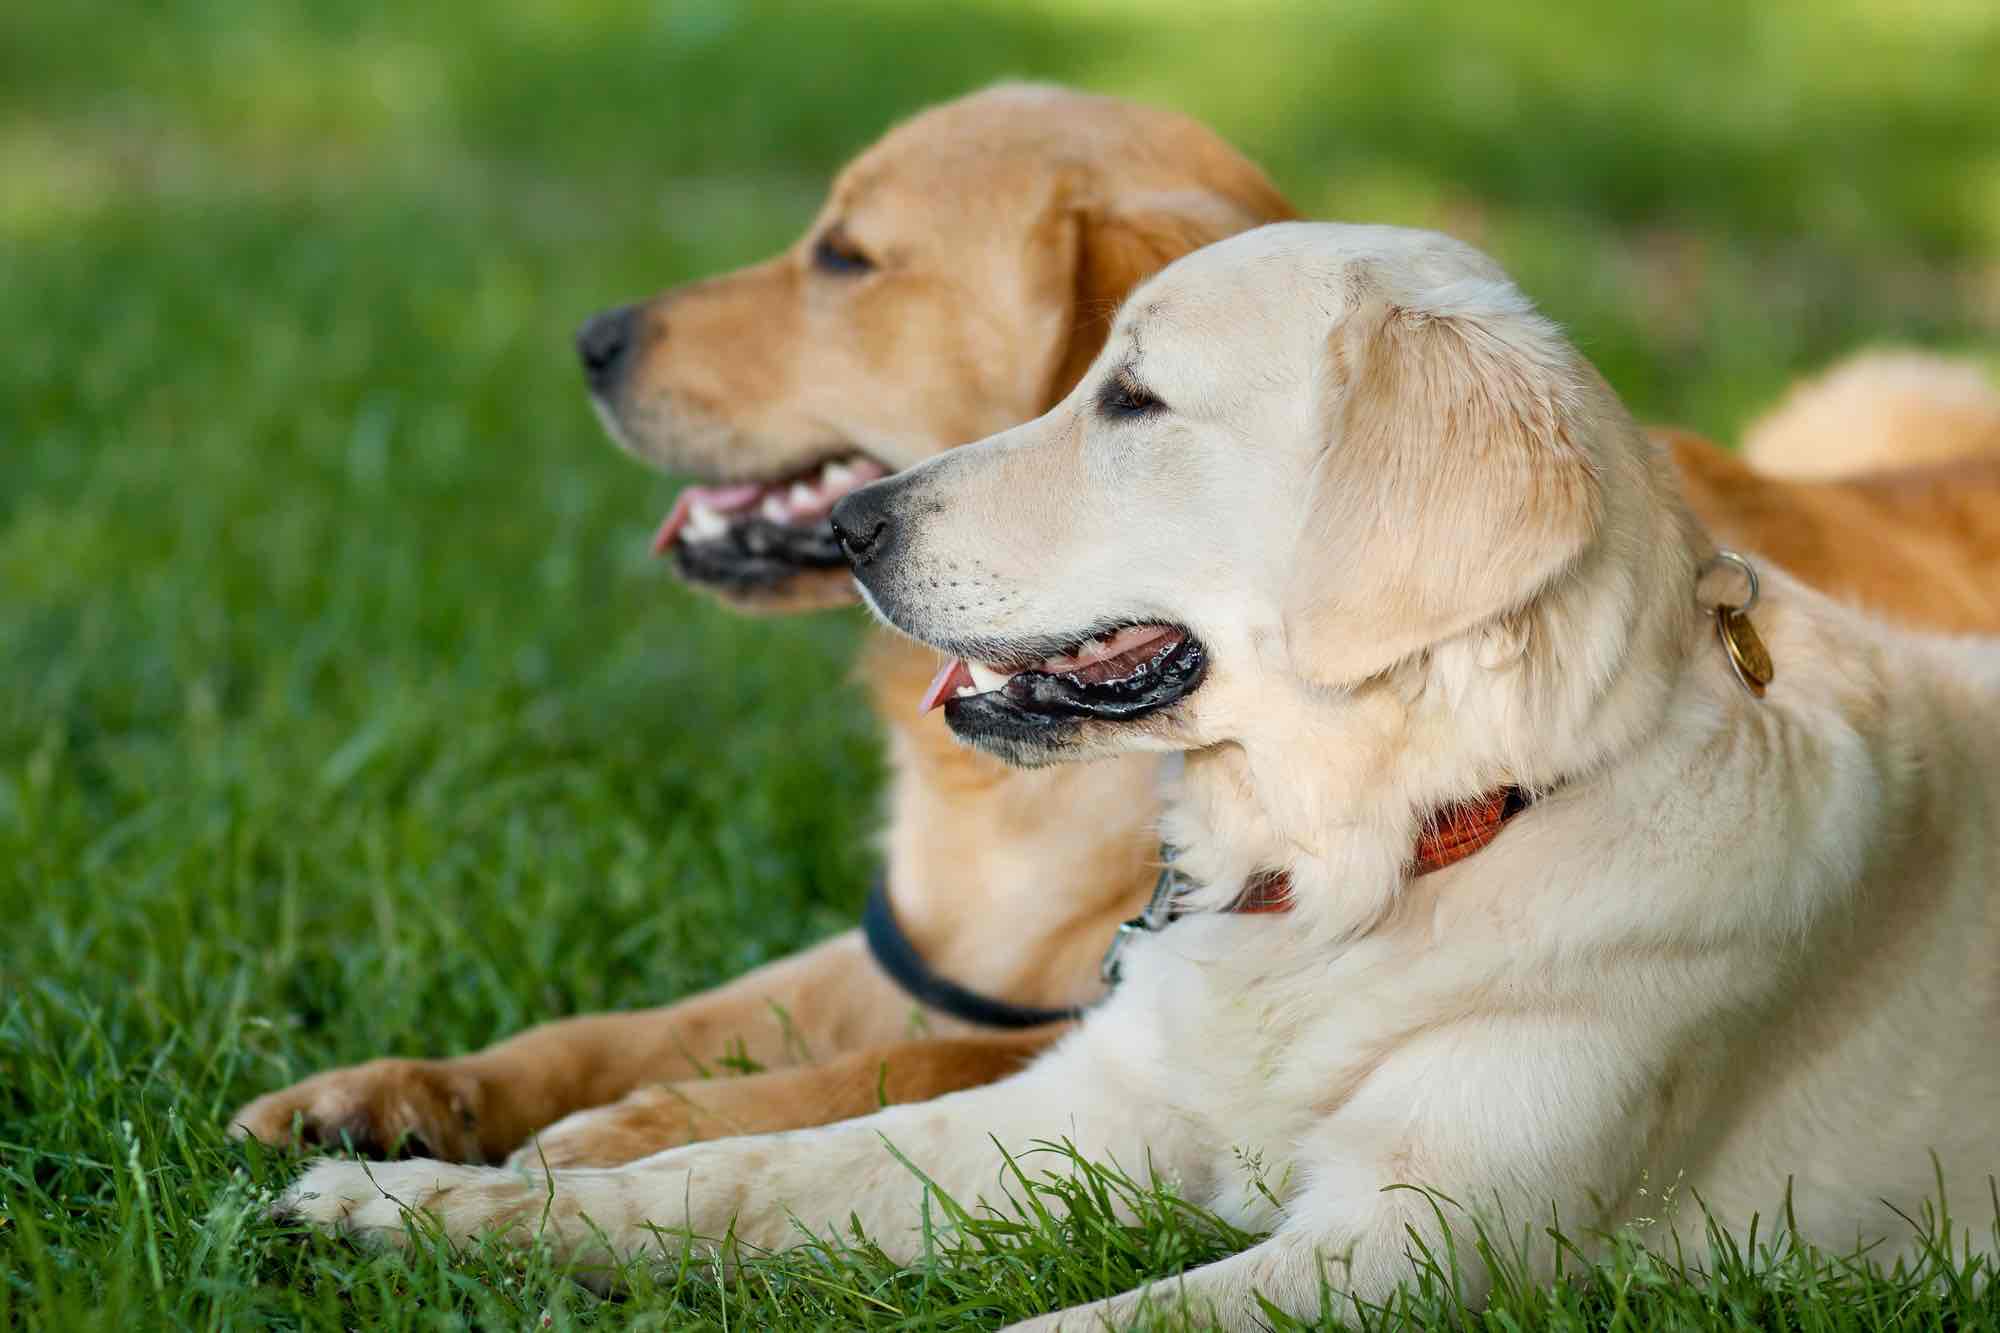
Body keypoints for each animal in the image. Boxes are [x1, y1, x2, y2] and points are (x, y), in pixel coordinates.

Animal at [238, 85, 2000, 1160]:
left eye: (845, 257)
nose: (593, 338)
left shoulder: (1044, 1016)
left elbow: (835, 1076)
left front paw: (614, 1141)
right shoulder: (923, 948)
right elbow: (631, 1022)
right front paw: (396, 1092)